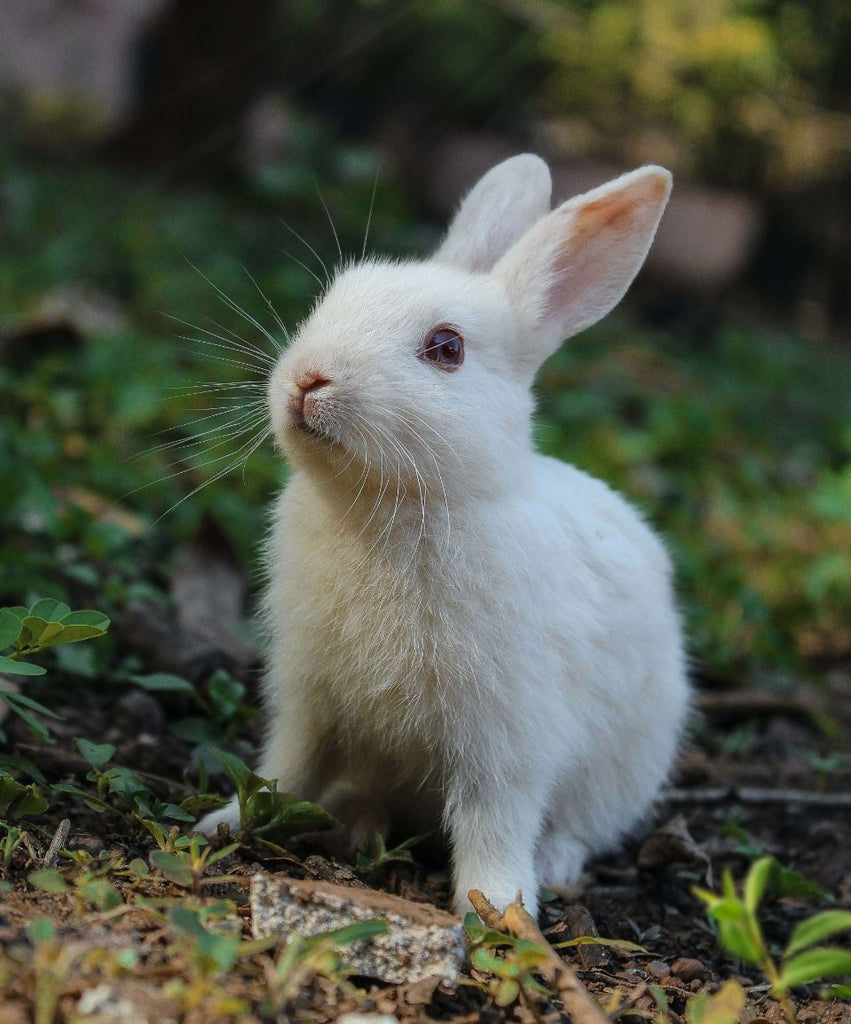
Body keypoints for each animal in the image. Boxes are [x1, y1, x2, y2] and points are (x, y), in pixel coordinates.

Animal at [201, 153, 692, 921]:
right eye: (333, 298)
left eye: (446, 348)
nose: (308, 379)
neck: (395, 508)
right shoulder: (308, 698)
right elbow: (286, 768)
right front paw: (226, 822)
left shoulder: (506, 736)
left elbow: (495, 819)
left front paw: (496, 908)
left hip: (626, 765)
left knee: (579, 827)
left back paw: (552, 867)